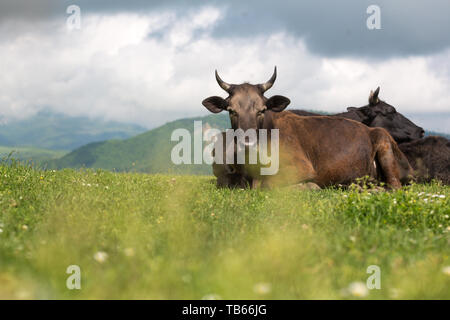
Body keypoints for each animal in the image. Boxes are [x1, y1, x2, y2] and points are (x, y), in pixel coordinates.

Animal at [203, 67, 412, 188]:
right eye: (231, 110)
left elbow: (269, 184)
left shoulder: (302, 167)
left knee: (394, 187)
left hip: (384, 144)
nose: (247, 143)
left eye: (262, 110)